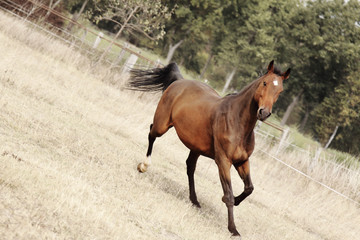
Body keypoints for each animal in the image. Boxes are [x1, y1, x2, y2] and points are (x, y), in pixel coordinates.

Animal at [128, 61, 292, 237]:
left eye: (280, 90)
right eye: (265, 83)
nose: (264, 113)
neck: (237, 122)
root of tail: (180, 81)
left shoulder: (242, 161)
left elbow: (249, 188)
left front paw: (235, 202)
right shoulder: (223, 161)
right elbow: (229, 195)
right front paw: (233, 229)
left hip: (195, 147)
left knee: (190, 167)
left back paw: (194, 200)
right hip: (162, 125)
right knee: (151, 133)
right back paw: (143, 166)